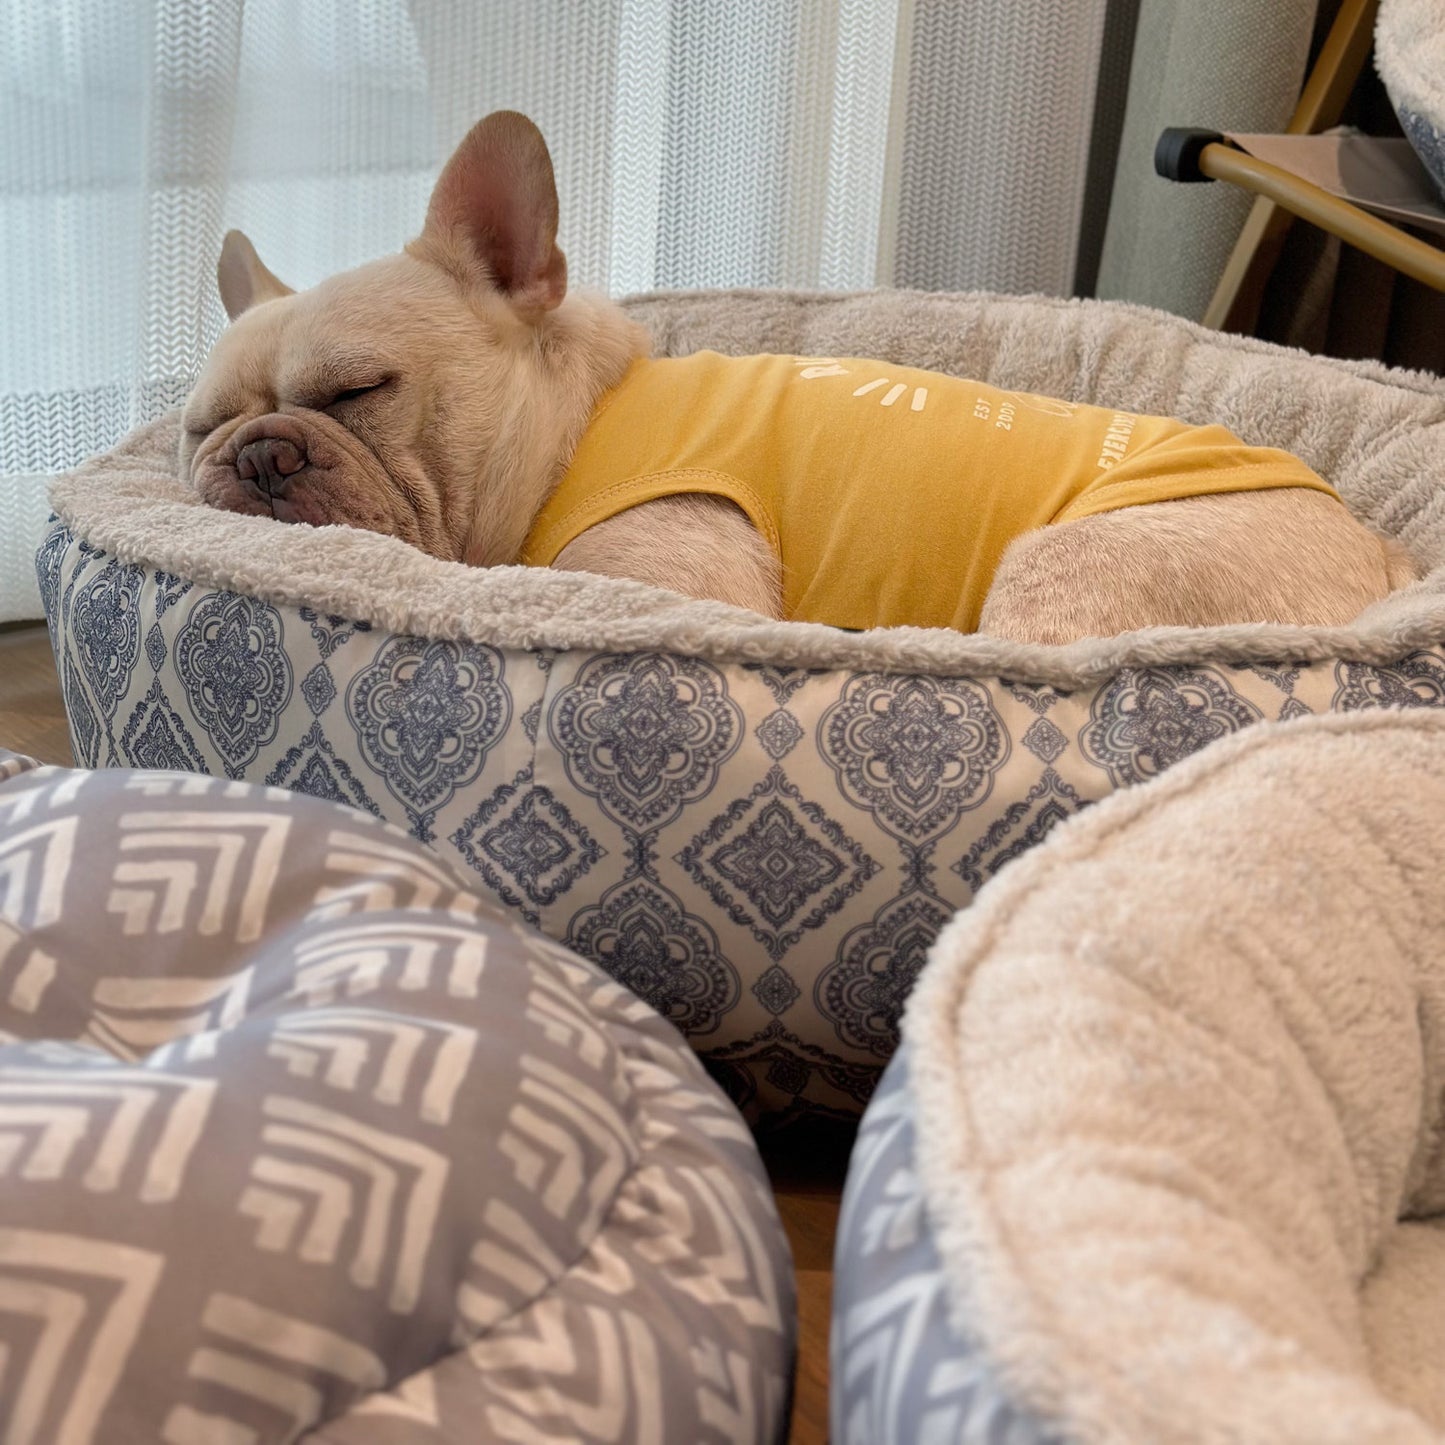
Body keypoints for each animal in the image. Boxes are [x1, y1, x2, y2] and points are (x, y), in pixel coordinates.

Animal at [180, 115, 1410, 647]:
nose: (257, 452)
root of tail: (1388, 557)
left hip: (1069, 573)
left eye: (359, 391)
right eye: (199, 428)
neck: (578, 430)